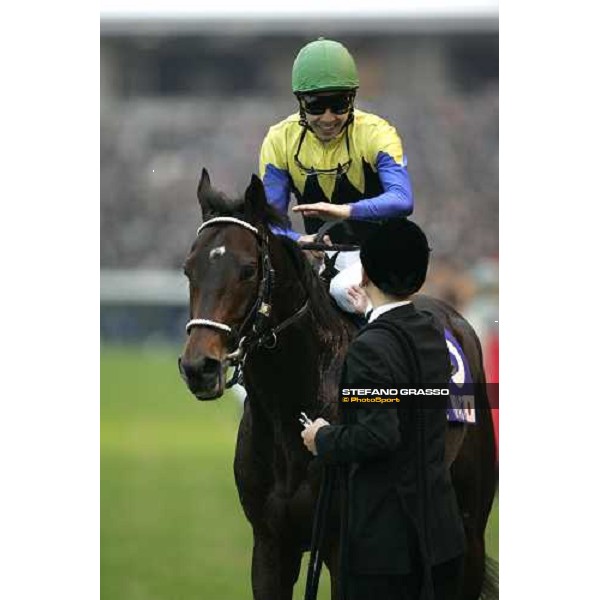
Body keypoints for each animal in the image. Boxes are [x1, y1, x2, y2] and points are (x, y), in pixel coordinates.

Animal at [178, 170, 496, 600]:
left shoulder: (342, 549)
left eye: (247, 269)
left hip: (470, 529)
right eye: (188, 269)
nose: (199, 366)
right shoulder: (270, 545)